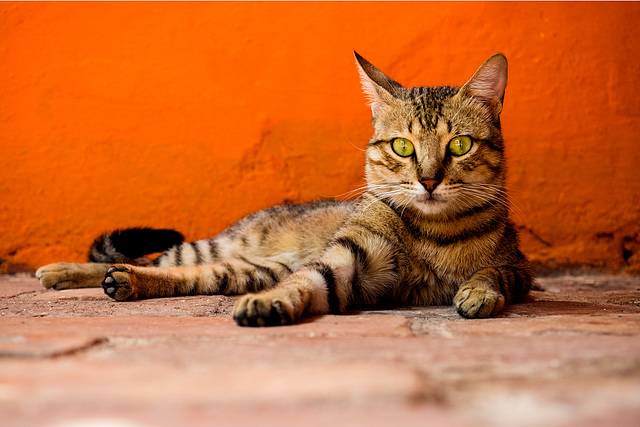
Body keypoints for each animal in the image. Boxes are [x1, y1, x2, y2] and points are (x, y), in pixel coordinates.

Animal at [36, 52, 536, 328]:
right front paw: (270, 305)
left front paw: (478, 292)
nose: (429, 180)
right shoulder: (347, 260)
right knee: (150, 258)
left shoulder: (519, 268)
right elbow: (307, 281)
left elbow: (494, 273)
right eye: (402, 146)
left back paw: (123, 281)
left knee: (183, 274)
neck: (435, 232)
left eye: (459, 144)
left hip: (244, 269)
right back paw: (62, 271)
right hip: (213, 248)